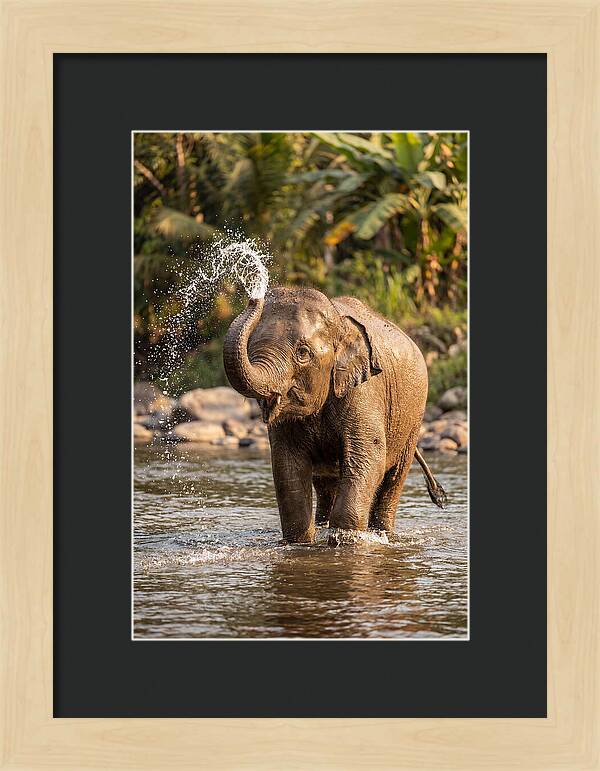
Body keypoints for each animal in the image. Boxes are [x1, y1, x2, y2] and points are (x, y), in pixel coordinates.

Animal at [222, 286, 447, 544]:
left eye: (303, 353)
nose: (254, 297)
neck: (339, 323)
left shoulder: (364, 391)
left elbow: (368, 457)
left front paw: (345, 540)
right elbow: (287, 465)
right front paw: (302, 542)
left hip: (413, 418)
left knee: (393, 479)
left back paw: (383, 534)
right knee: (325, 483)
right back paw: (323, 526)